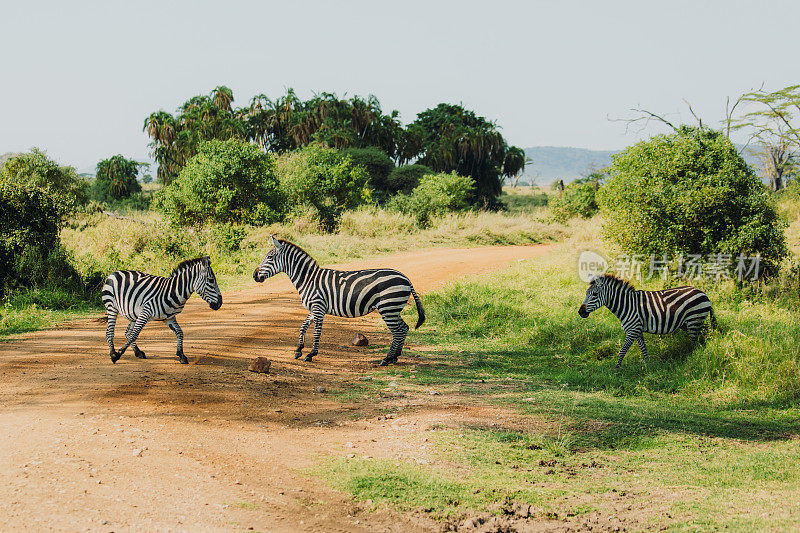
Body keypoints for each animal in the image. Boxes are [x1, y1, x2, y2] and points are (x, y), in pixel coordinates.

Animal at [253, 237, 424, 366]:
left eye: (269, 257)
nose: (254, 275)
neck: (308, 279)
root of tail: (405, 277)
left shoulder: (318, 307)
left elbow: (316, 332)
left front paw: (311, 354)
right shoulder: (314, 308)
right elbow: (303, 326)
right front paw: (298, 350)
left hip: (388, 307)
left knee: (398, 331)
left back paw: (387, 359)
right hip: (393, 308)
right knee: (404, 327)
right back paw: (395, 356)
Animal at [580, 272, 716, 368]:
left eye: (595, 294)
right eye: (586, 293)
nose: (580, 312)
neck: (627, 305)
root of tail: (704, 293)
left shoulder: (632, 330)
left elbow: (622, 350)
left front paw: (617, 368)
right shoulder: (638, 330)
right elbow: (643, 349)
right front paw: (648, 365)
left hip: (694, 320)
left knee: (694, 342)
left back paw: (691, 359)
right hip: (691, 322)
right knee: (702, 337)